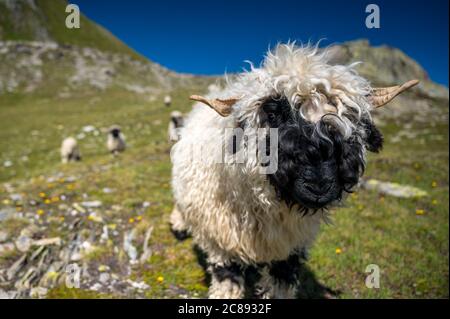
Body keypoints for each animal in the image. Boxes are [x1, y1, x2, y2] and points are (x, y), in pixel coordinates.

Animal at [171, 43, 420, 300]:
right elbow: (226, 278)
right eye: (272, 114)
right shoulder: (221, 240)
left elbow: (282, 280)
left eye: (352, 119)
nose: (318, 185)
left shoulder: (292, 246)